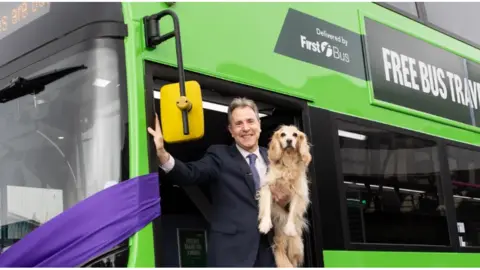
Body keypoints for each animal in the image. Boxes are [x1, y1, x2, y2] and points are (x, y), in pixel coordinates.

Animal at [256, 125, 314, 268]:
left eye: (295, 135)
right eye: (282, 134)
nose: (289, 141)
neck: (288, 161)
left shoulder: (298, 194)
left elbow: (292, 212)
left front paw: (290, 228)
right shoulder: (268, 187)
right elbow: (266, 207)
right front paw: (265, 224)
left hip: (295, 245)